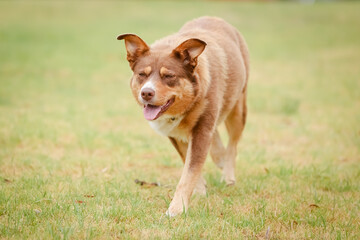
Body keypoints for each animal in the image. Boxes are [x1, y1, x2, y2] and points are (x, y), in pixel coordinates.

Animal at [116, 15, 249, 217]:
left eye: (169, 76)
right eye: (142, 74)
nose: (146, 93)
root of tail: (214, 17)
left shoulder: (202, 130)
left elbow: (189, 172)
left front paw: (177, 209)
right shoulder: (175, 135)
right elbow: (189, 163)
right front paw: (199, 191)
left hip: (238, 108)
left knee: (232, 145)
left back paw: (228, 175)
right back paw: (219, 157)